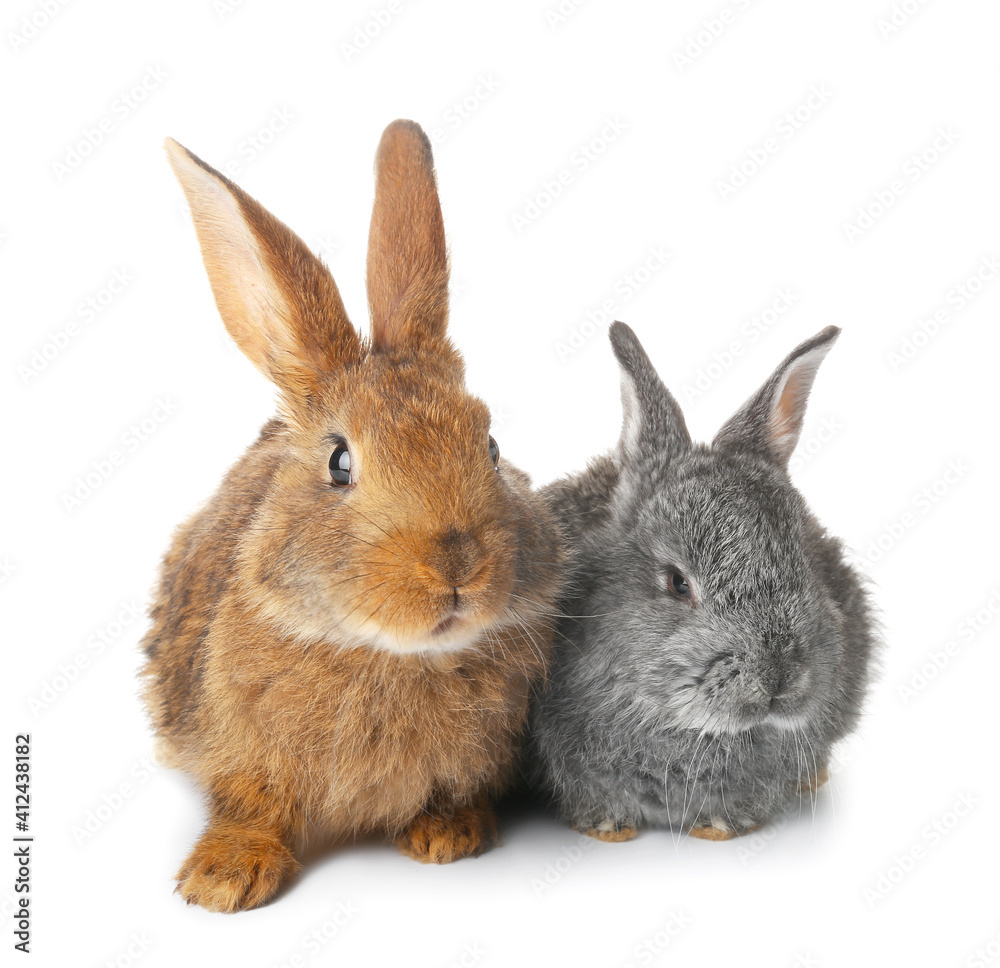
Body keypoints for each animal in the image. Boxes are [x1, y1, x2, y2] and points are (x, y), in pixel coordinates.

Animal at [140, 120, 564, 912]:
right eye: (340, 463)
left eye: (490, 446)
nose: (456, 566)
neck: (384, 653)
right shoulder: (241, 752)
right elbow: (249, 806)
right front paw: (222, 880)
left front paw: (448, 837)